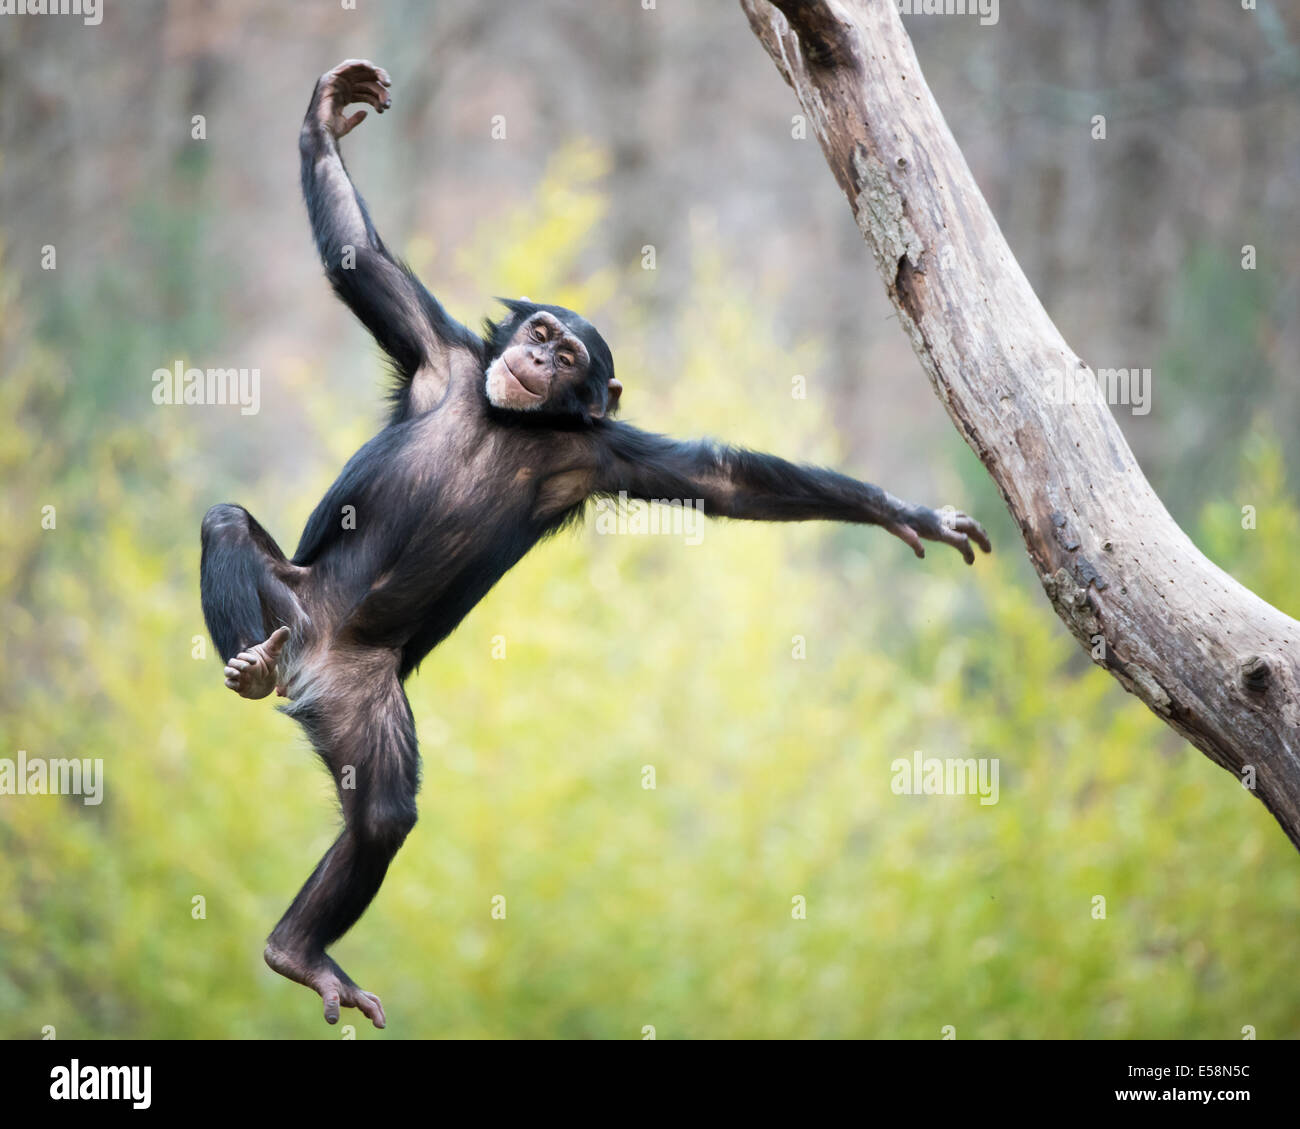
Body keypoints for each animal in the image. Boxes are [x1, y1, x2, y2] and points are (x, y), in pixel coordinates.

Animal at [200, 61, 993, 1030]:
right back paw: (249, 670)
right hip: (292, 609)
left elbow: (722, 480)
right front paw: (327, 115)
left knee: (382, 815)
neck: (512, 419)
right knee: (225, 525)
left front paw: (901, 512)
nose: (542, 358)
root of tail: (310, 665)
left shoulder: (602, 455)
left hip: (363, 698)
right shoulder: (436, 353)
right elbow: (355, 257)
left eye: (570, 355)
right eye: (540, 333)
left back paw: (296, 948)